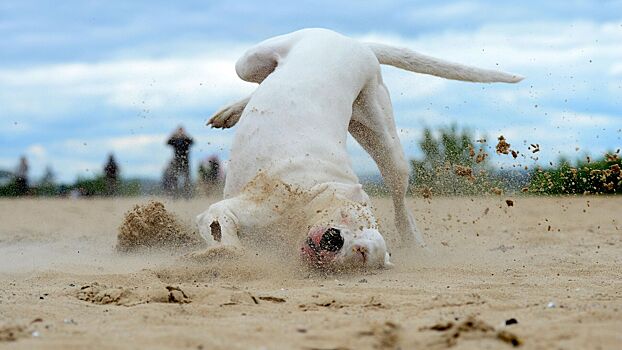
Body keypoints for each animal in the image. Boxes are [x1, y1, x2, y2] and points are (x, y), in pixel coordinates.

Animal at [196, 28, 520, 270]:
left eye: (361, 252)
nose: (333, 239)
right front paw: (220, 255)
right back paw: (230, 111)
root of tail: (357, 43)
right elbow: (224, 235)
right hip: (253, 60)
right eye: (347, 216)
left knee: (400, 202)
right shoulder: (229, 209)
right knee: (258, 76)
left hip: (377, 131)